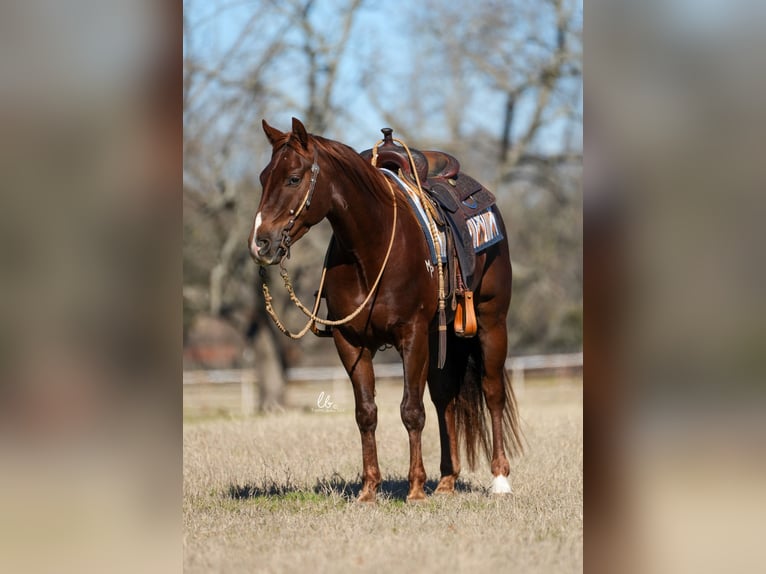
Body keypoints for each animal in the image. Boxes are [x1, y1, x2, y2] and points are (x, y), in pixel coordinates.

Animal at [249, 119, 524, 502]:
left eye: (293, 178)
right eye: (263, 178)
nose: (260, 243)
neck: (372, 247)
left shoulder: (411, 335)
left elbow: (411, 410)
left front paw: (415, 489)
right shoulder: (350, 342)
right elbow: (366, 412)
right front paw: (369, 489)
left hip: (490, 322)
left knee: (492, 391)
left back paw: (499, 479)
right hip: (441, 338)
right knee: (445, 398)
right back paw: (447, 480)